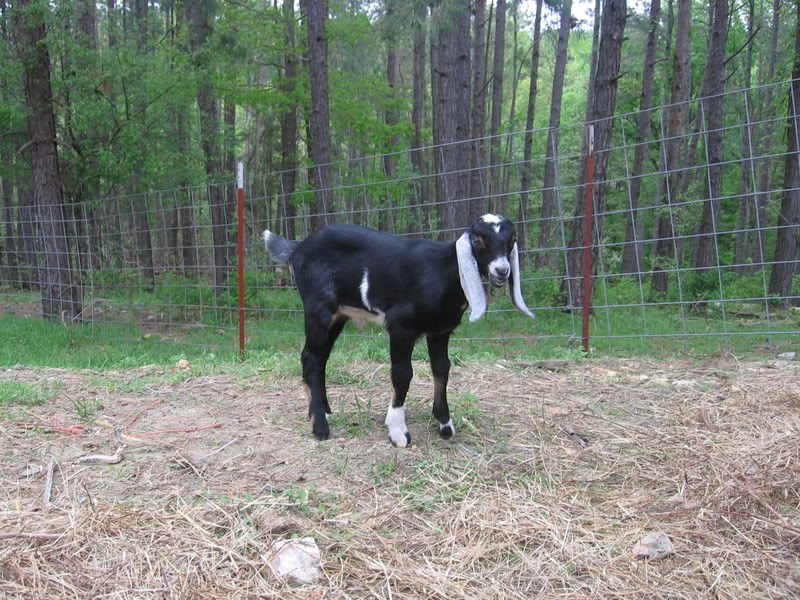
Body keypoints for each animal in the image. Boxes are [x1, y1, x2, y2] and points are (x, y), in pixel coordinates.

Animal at [262, 213, 535, 446]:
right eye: (478, 239)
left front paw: (444, 423)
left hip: (338, 315)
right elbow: (403, 374)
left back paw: (325, 412)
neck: (443, 271)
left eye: (512, 239)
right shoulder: (400, 326)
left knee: (320, 359)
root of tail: (297, 248)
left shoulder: (440, 330)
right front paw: (397, 431)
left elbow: (442, 370)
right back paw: (320, 426)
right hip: (319, 307)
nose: (502, 270)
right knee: (310, 357)